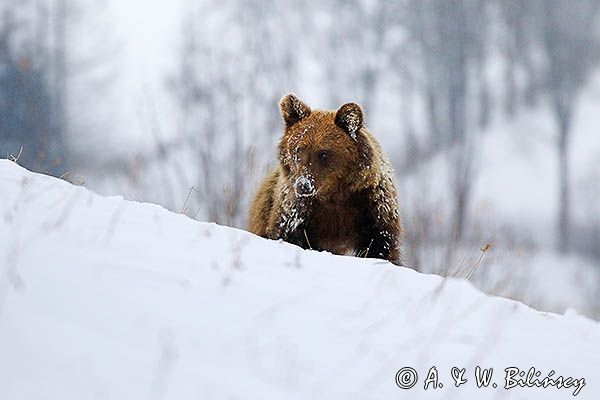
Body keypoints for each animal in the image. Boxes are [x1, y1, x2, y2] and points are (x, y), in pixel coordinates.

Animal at [248, 92, 404, 264]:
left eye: (323, 153)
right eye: (299, 149)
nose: (303, 184)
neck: (332, 194)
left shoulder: (372, 206)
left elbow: (380, 245)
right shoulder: (296, 212)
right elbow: (289, 234)